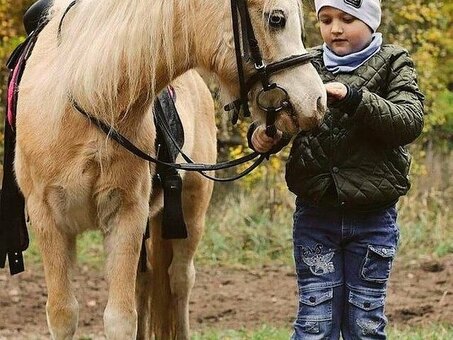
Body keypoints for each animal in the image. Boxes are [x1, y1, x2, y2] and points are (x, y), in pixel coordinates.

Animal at [13, 0, 324, 338]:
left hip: (192, 210)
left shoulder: (126, 215)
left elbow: (120, 318)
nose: (317, 101)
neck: (85, 100)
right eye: (276, 19)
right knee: (146, 281)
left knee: (179, 280)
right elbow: (63, 314)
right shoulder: (48, 220)